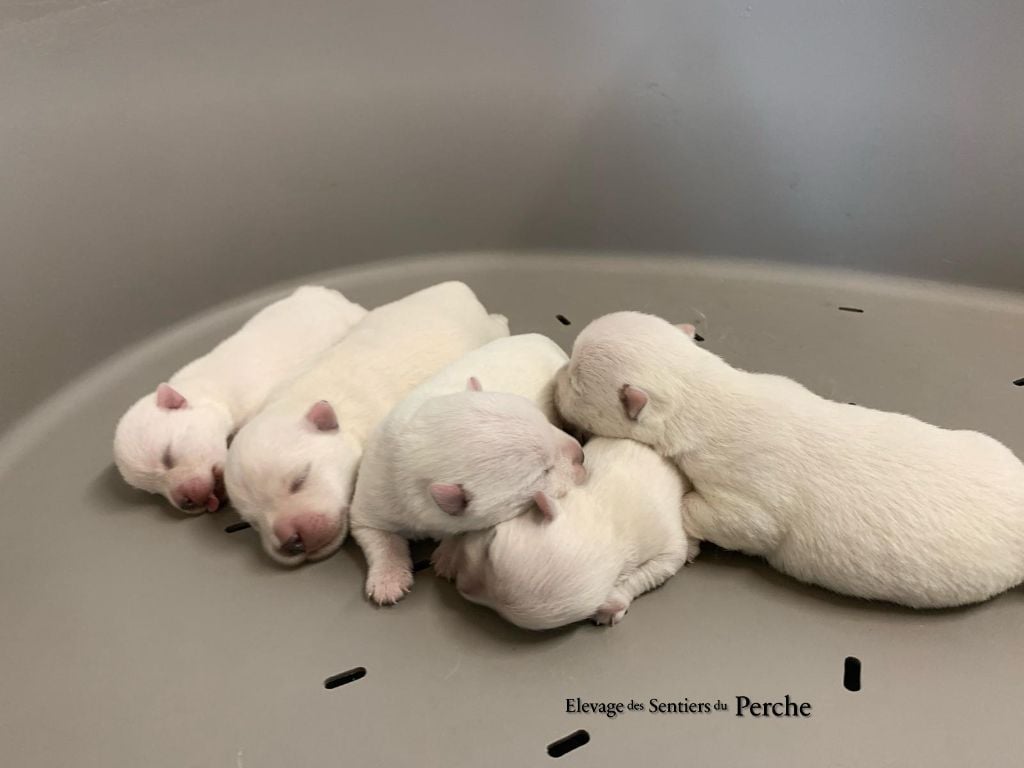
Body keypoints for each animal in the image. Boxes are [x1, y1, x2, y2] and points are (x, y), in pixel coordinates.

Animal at [226, 280, 509, 565]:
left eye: (300, 479)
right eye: (252, 521)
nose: (291, 541)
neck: (299, 398)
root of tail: (454, 287)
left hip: (484, 329)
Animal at [348, 335, 585, 606]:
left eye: (547, 422)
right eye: (544, 471)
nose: (581, 456)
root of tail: (541, 338)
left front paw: (448, 556)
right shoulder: (377, 486)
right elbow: (374, 533)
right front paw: (388, 582)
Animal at [434, 438, 696, 630]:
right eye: (489, 545)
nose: (461, 587)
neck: (600, 517)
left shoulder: (667, 545)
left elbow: (658, 568)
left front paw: (613, 603)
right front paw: (447, 555)